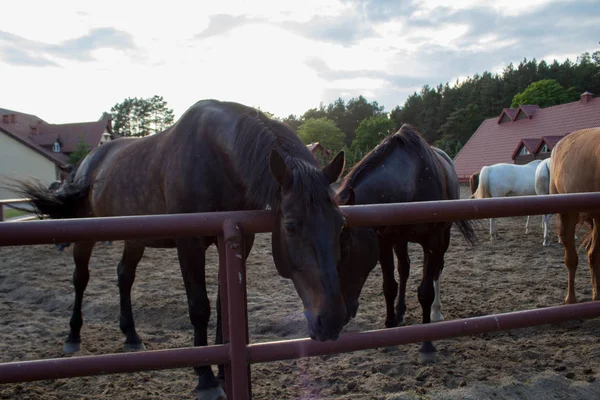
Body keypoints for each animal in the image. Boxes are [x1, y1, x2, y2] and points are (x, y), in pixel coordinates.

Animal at [10, 99, 346, 400]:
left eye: (341, 222)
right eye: (290, 226)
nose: (331, 320)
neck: (216, 155)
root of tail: (87, 164)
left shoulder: (236, 240)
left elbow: (223, 304)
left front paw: (223, 371)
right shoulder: (189, 243)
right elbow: (200, 307)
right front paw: (206, 378)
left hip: (134, 238)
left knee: (123, 276)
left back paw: (131, 336)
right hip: (85, 234)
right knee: (81, 279)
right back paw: (73, 336)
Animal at [336, 126, 476, 366]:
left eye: (344, 251)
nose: (335, 315)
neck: (413, 181)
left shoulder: (432, 239)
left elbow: (425, 291)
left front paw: (427, 345)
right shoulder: (384, 241)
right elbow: (389, 286)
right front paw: (390, 327)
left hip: (443, 237)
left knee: (437, 269)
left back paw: (436, 313)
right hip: (400, 241)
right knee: (405, 269)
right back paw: (400, 312)